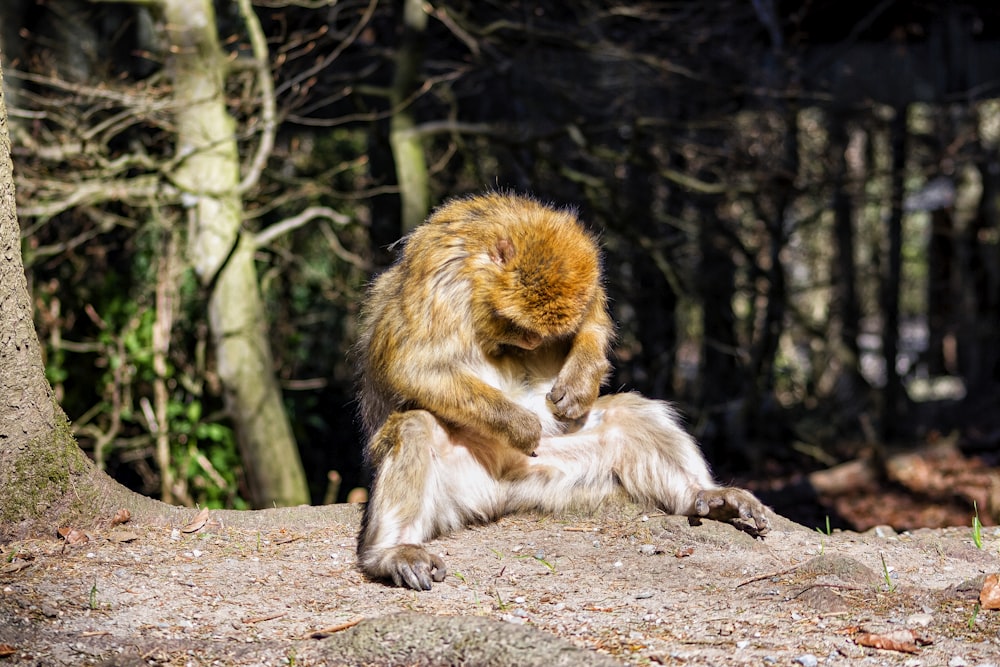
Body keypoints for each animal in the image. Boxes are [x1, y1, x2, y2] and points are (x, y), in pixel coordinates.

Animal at [356, 192, 768, 588]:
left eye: (541, 333)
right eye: (516, 326)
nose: (532, 342)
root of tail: (500, 486)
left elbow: (593, 321)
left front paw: (580, 382)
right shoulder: (441, 274)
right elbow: (414, 366)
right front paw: (520, 425)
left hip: (551, 478)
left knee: (629, 414)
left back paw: (705, 495)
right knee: (414, 426)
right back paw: (394, 551)